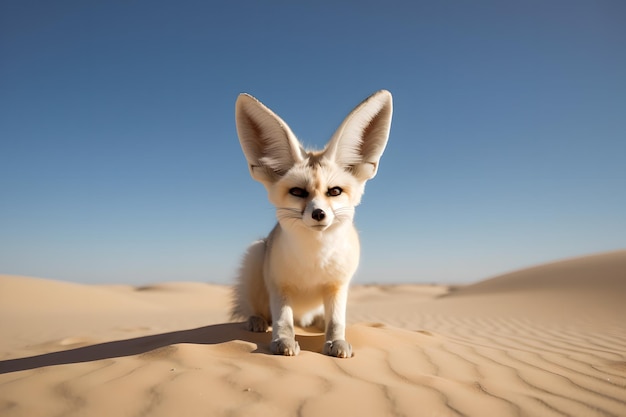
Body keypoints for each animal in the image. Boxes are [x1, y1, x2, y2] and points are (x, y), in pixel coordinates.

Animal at [232, 89, 392, 356]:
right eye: (298, 192)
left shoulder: (337, 285)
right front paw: (283, 342)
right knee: (258, 311)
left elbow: (337, 321)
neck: (315, 258)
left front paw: (336, 342)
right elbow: (283, 320)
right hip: (255, 253)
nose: (318, 213)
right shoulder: (279, 285)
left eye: (334, 191)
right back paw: (257, 321)